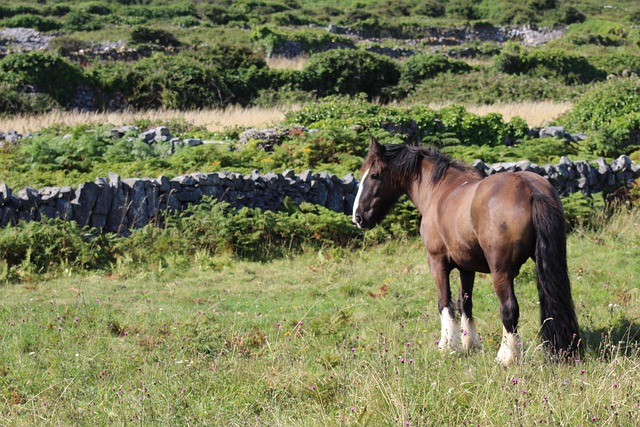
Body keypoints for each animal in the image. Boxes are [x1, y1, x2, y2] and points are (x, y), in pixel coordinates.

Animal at [352, 138, 582, 366]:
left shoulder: (437, 262)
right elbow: (465, 304)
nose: (358, 217)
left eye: (374, 175)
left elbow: (444, 303)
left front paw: (448, 346)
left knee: (509, 309)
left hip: (501, 272)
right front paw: (469, 343)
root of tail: (530, 188)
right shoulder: (466, 267)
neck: (439, 189)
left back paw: (506, 356)